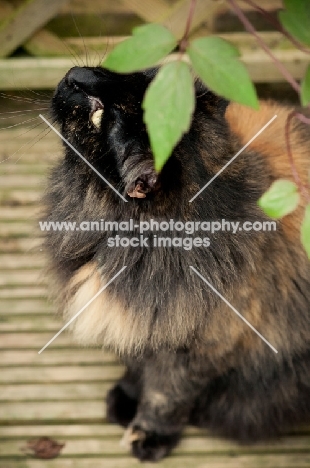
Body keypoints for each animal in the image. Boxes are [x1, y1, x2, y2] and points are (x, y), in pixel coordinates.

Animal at [42, 65, 310, 460]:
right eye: (129, 72)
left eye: (100, 116)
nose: (74, 75)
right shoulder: (149, 323)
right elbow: (137, 365)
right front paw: (126, 400)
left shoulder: (200, 344)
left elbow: (165, 395)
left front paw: (148, 434)